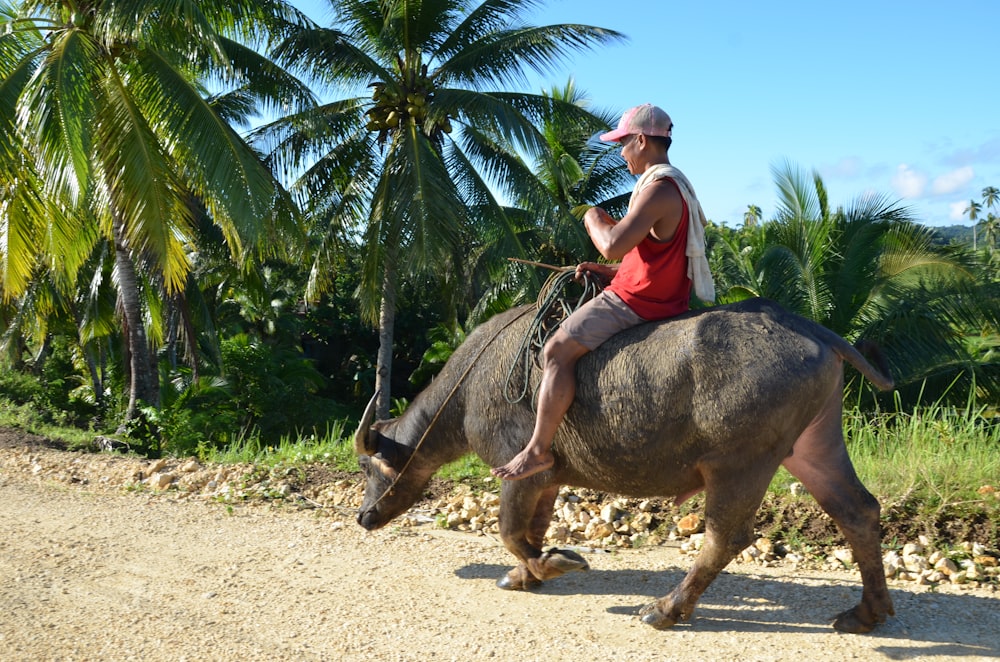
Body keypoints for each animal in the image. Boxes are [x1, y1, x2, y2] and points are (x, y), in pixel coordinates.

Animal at [356, 298, 896, 636]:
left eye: (366, 468)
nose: (363, 516)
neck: (470, 386)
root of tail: (808, 327)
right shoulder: (549, 480)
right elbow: (532, 529)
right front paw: (526, 573)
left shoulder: (521, 470)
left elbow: (509, 531)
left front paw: (554, 564)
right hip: (812, 446)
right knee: (859, 511)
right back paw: (866, 613)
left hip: (739, 462)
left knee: (726, 537)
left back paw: (666, 609)